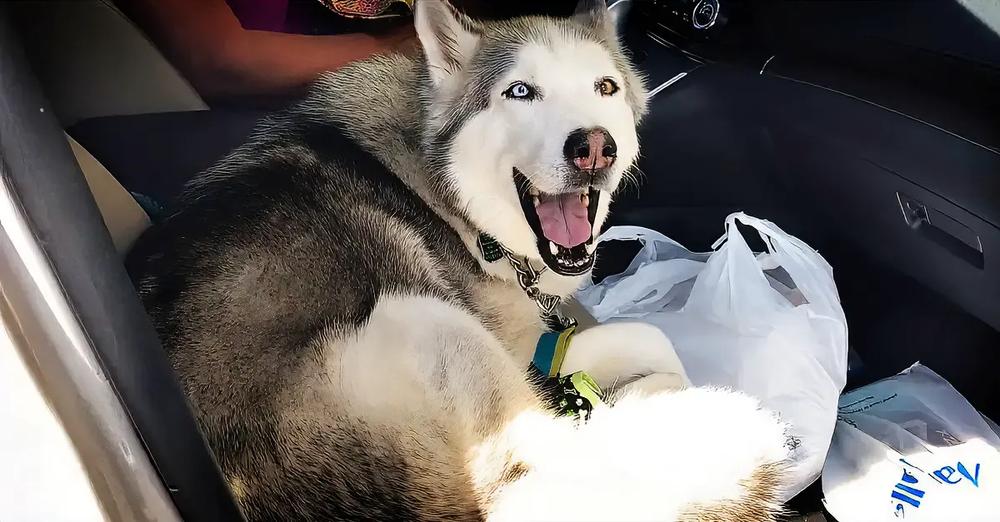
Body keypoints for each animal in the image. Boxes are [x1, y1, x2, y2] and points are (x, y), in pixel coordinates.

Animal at [129, 0, 788, 516]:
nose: (593, 147)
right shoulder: (520, 348)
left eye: (606, 87)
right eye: (520, 91)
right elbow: (653, 339)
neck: (454, 200)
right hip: (426, 322)